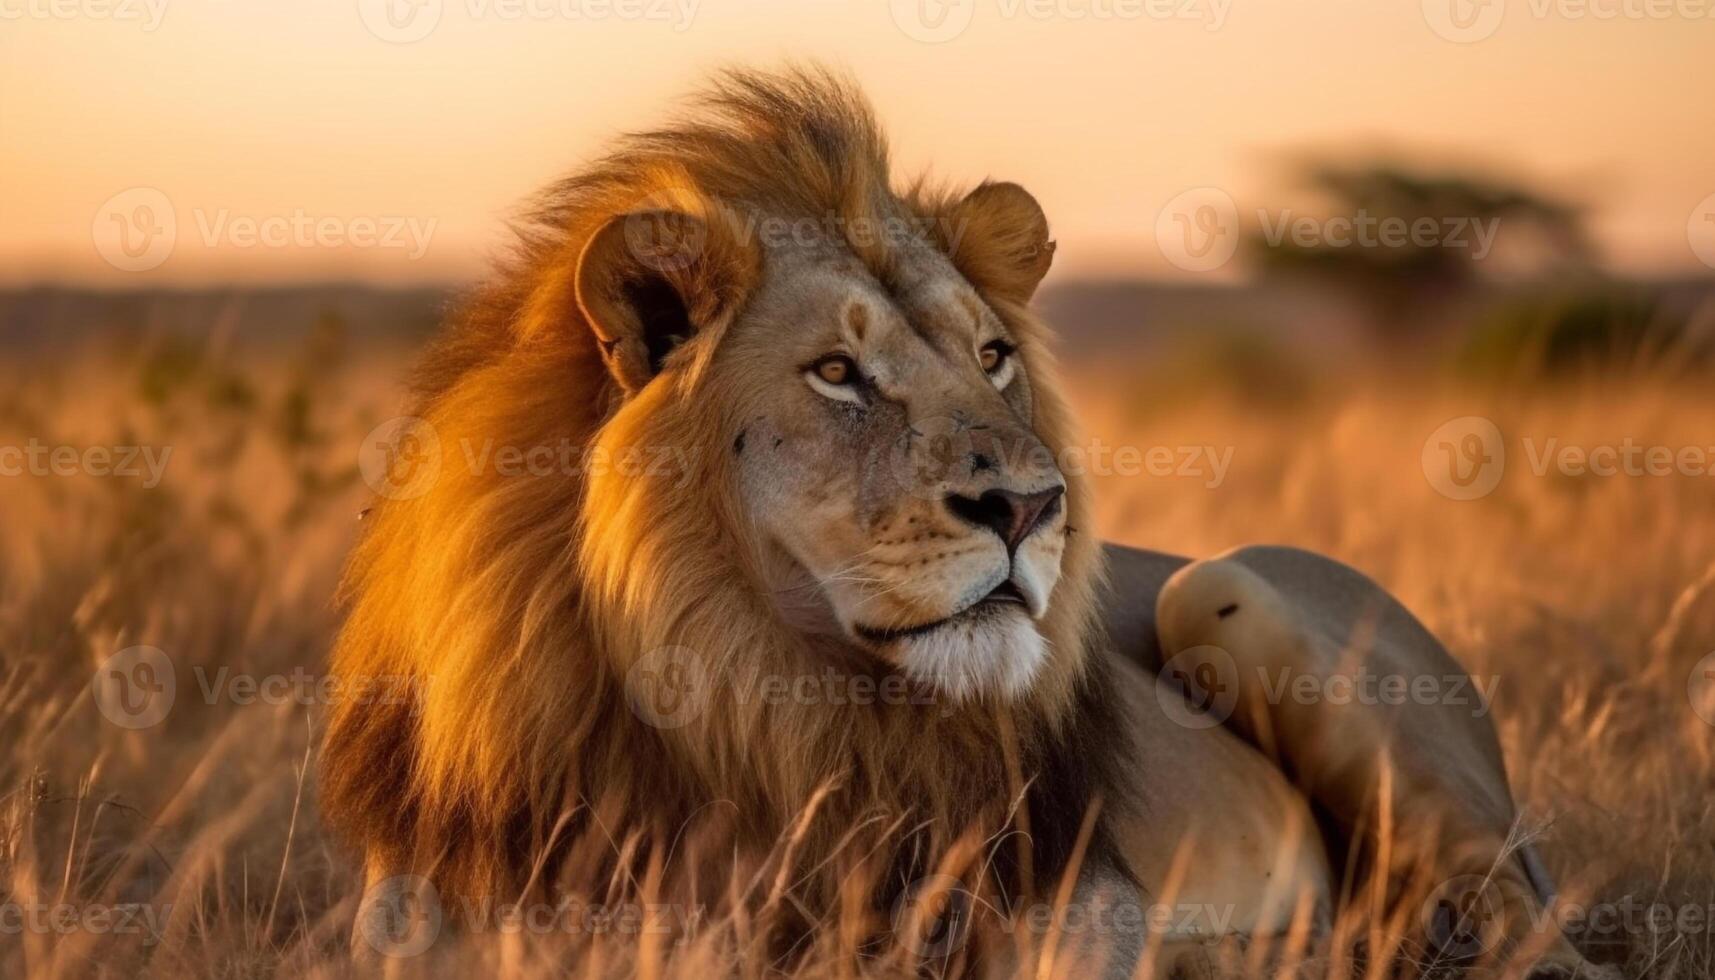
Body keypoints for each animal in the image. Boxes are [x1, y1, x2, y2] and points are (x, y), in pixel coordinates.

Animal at [324, 69, 1605, 980]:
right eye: (836, 372)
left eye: (990, 355)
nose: (1031, 507)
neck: (755, 709)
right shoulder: (429, 895)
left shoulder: (1074, 891)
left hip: (1224, 594)